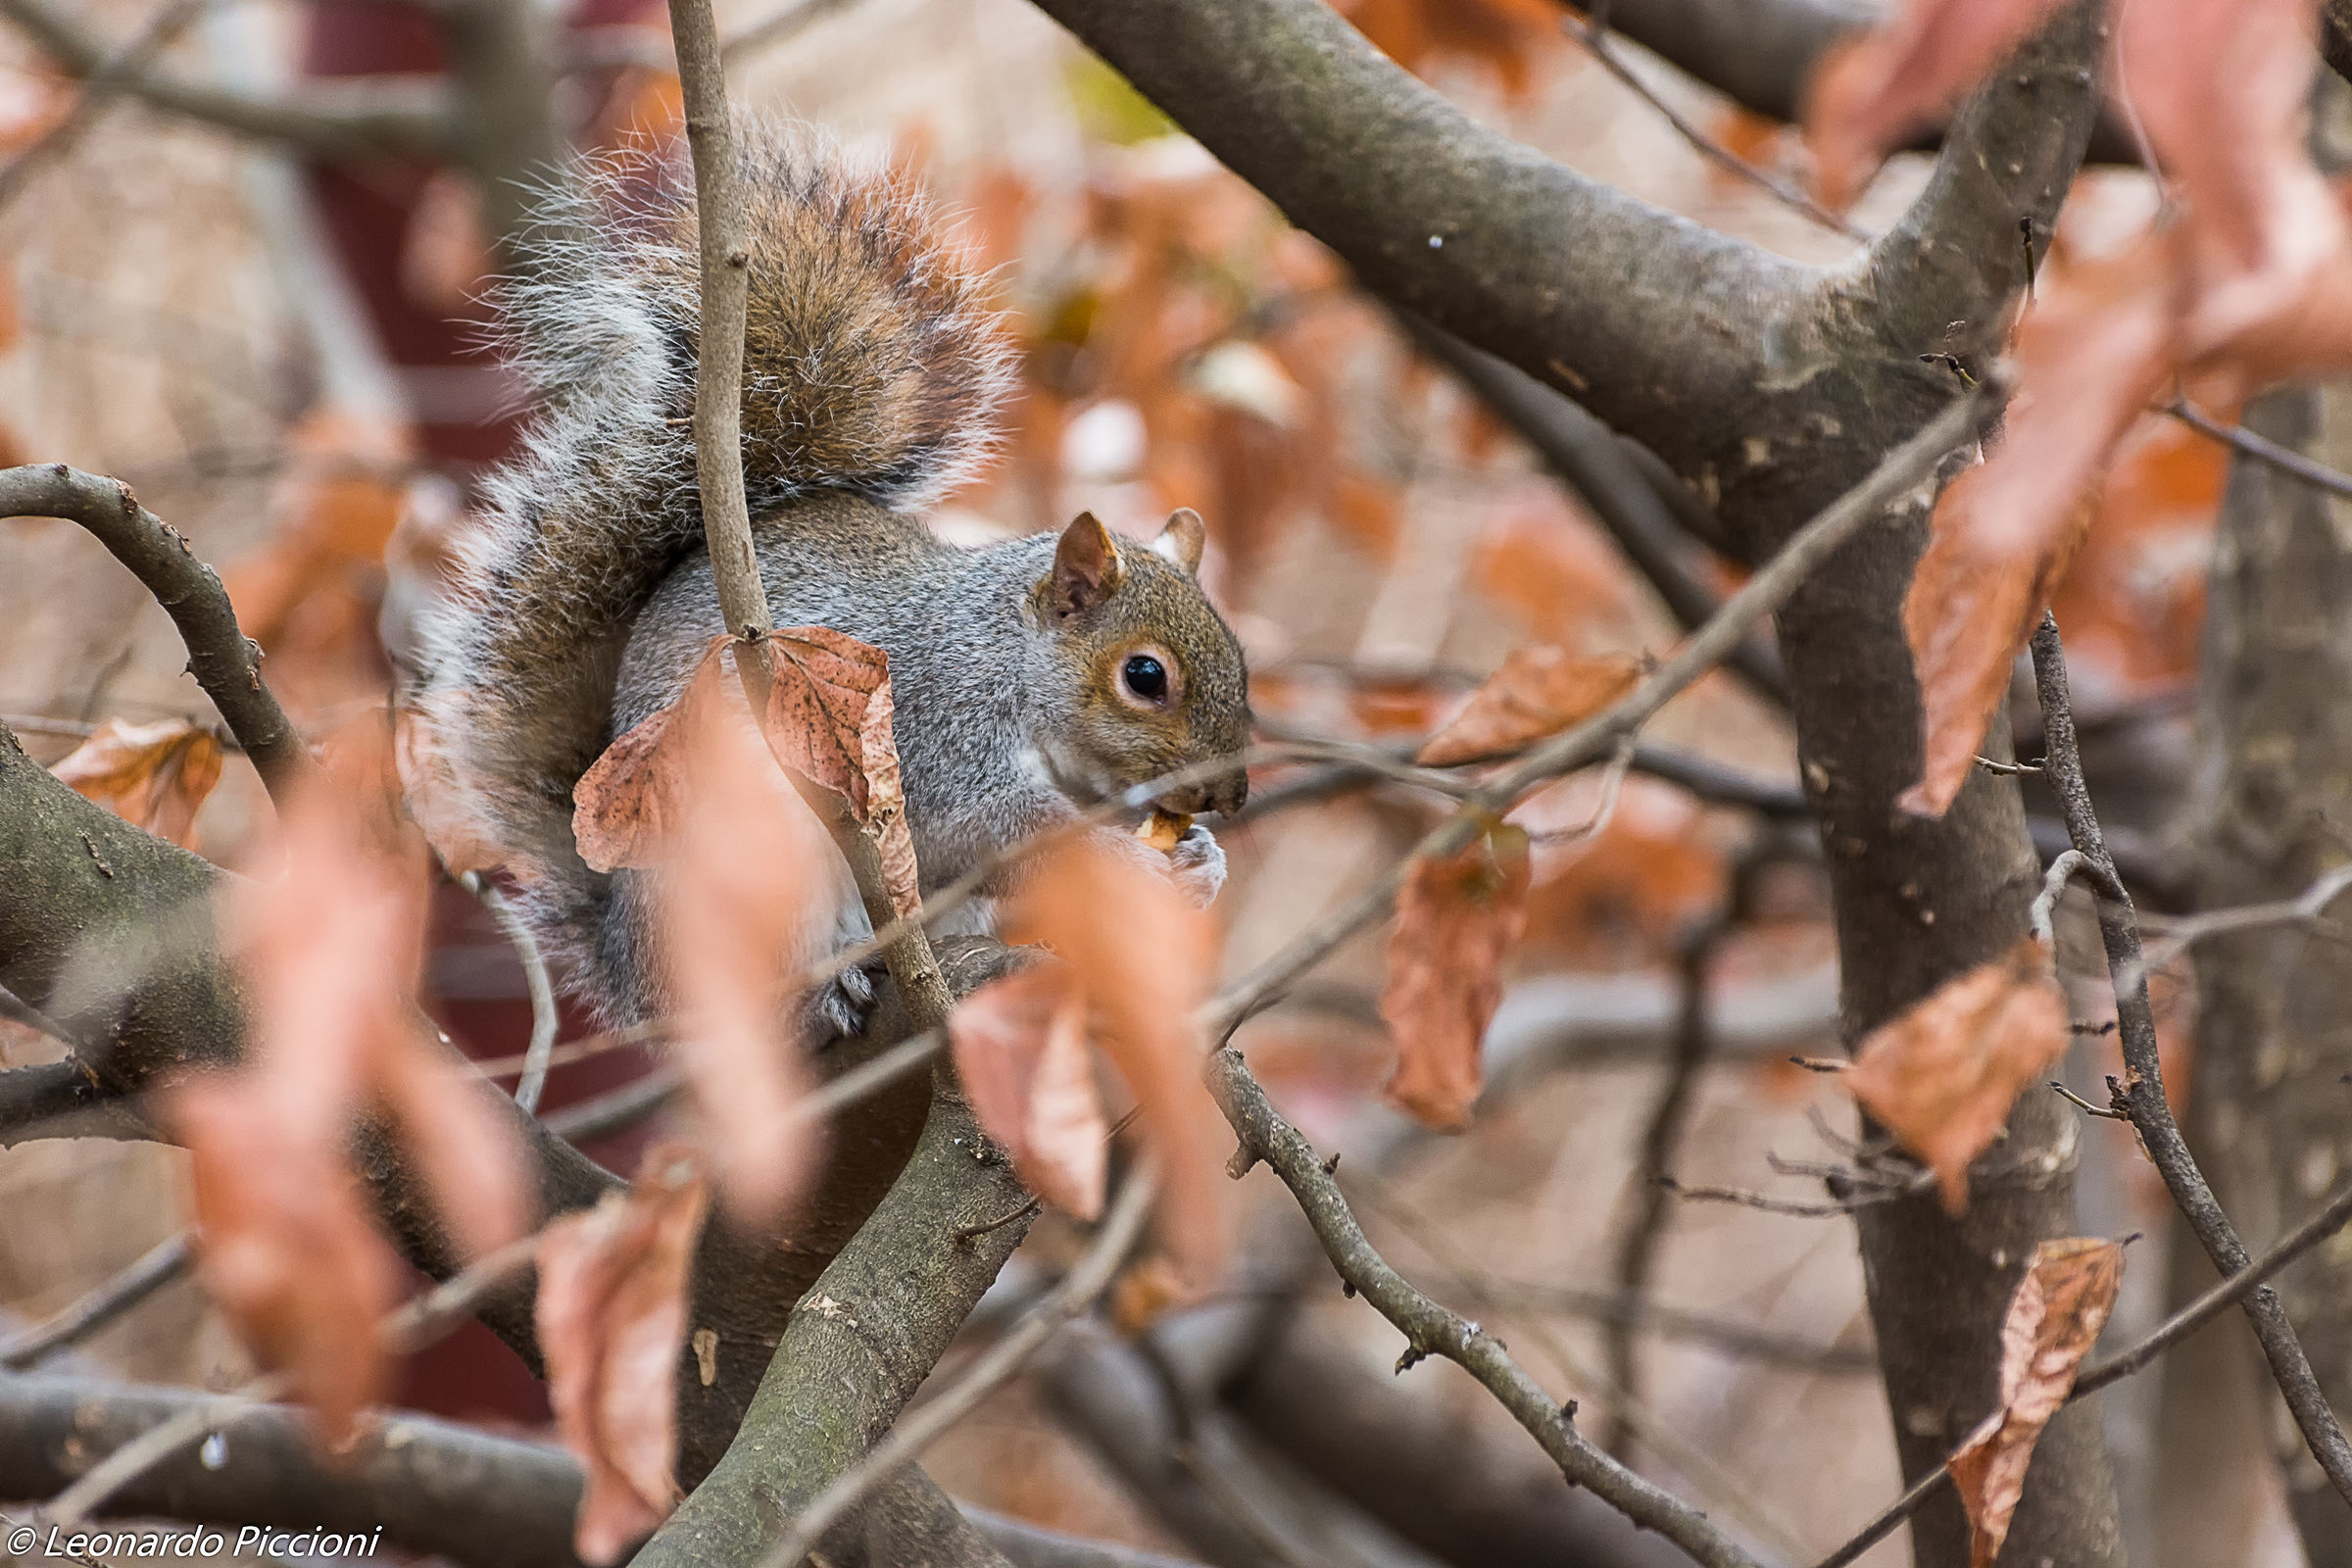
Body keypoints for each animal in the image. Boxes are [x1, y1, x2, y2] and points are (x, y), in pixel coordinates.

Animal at [407, 122, 1252, 1035]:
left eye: (1241, 661)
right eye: (1145, 677)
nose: (1233, 795)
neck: (1009, 656)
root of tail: (632, 973)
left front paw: (1200, 863)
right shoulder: (939, 727)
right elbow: (1003, 829)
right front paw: (1127, 862)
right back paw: (823, 987)